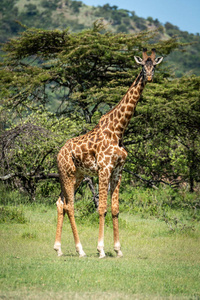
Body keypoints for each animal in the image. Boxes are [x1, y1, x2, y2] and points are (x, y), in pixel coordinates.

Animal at [54, 48, 163, 256]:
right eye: (142, 67)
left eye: (154, 66)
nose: (149, 77)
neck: (118, 129)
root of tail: (58, 153)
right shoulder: (104, 169)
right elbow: (102, 208)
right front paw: (101, 249)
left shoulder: (118, 170)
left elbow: (115, 209)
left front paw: (118, 250)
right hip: (67, 173)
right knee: (69, 205)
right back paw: (80, 250)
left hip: (77, 176)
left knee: (60, 202)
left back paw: (58, 248)